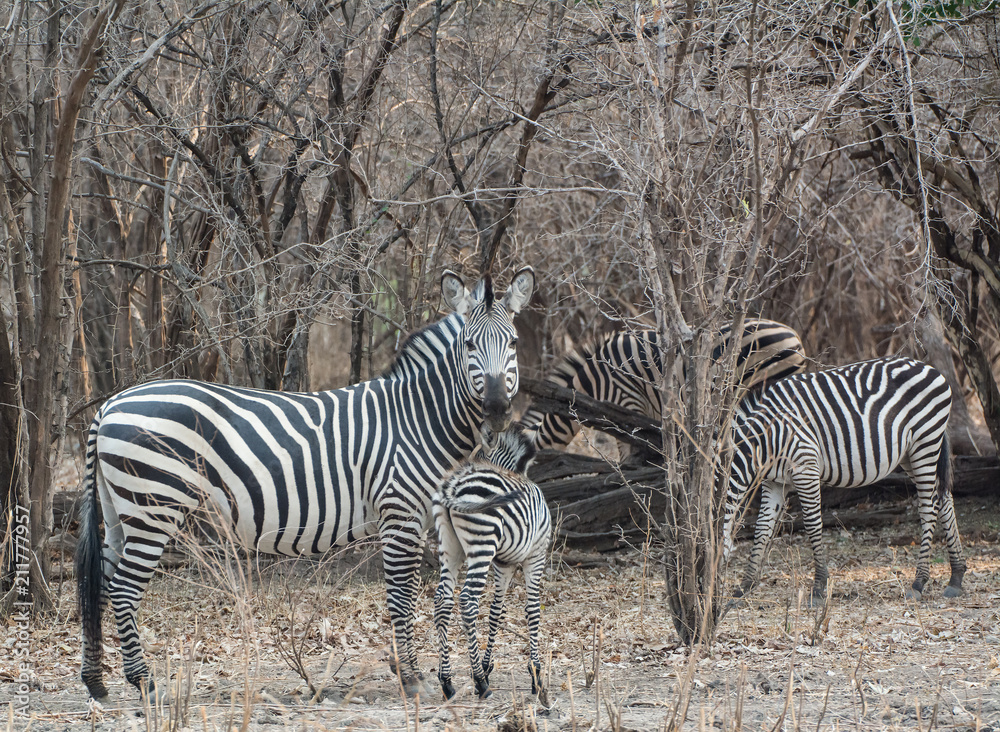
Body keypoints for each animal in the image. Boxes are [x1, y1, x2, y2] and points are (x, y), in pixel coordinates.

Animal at [76, 267, 535, 701]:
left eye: (513, 344)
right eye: (470, 345)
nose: (497, 409)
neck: (417, 417)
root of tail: (110, 404)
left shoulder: (423, 518)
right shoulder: (400, 513)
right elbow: (401, 596)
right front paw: (412, 678)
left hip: (120, 510)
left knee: (101, 582)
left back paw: (97, 683)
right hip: (153, 507)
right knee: (123, 589)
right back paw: (144, 684)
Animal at [432, 423, 551, 701]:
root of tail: (453, 486)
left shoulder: (503, 564)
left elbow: (496, 611)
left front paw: (487, 666)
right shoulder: (535, 556)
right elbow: (532, 610)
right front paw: (536, 674)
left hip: (450, 548)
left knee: (442, 600)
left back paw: (447, 682)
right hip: (482, 544)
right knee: (467, 601)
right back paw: (480, 683)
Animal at [721, 356, 966, 604]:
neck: (764, 441)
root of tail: (927, 366)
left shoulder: (806, 468)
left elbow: (812, 524)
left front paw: (819, 587)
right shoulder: (775, 482)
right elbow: (762, 527)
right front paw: (743, 588)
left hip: (924, 441)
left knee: (929, 506)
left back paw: (918, 583)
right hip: (910, 453)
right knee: (944, 499)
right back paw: (956, 577)